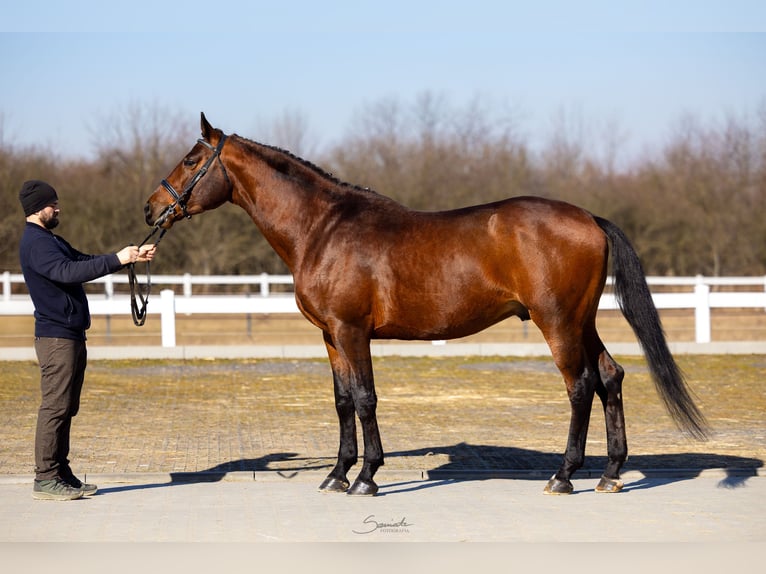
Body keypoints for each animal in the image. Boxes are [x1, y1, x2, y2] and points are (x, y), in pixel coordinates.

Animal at [144, 113, 708, 496]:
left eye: (192, 159)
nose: (151, 207)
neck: (323, 228)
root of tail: (590, 218)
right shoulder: (330, 335)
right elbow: (343, 401)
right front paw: (336, 474)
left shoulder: (351, 331)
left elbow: (366, 399)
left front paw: (367, 478)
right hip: (580, 321)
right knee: (610, 376)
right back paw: (610, 474)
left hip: (558, 323)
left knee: (581, 386)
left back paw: (564, 475)